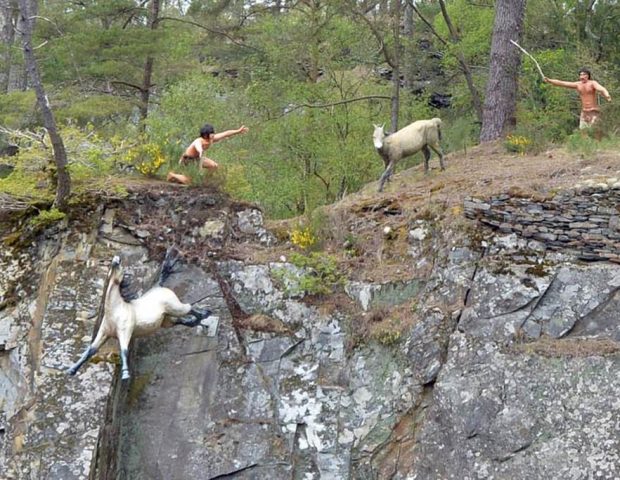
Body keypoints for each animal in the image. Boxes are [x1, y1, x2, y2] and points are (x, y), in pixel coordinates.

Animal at [66, 248, 211, 378]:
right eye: (113, 266)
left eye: (121, 268)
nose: (116, 260)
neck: (115, 311)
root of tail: (159, 287)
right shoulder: (104, 333)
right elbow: (90, 351)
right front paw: (72, 370)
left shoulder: (124, 332)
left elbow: (124, 351)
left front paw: (125, 374)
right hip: (166, 321)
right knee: (183, 321)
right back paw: (200, 323)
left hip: (175, 308)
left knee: (189, 307)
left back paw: (205, 315)